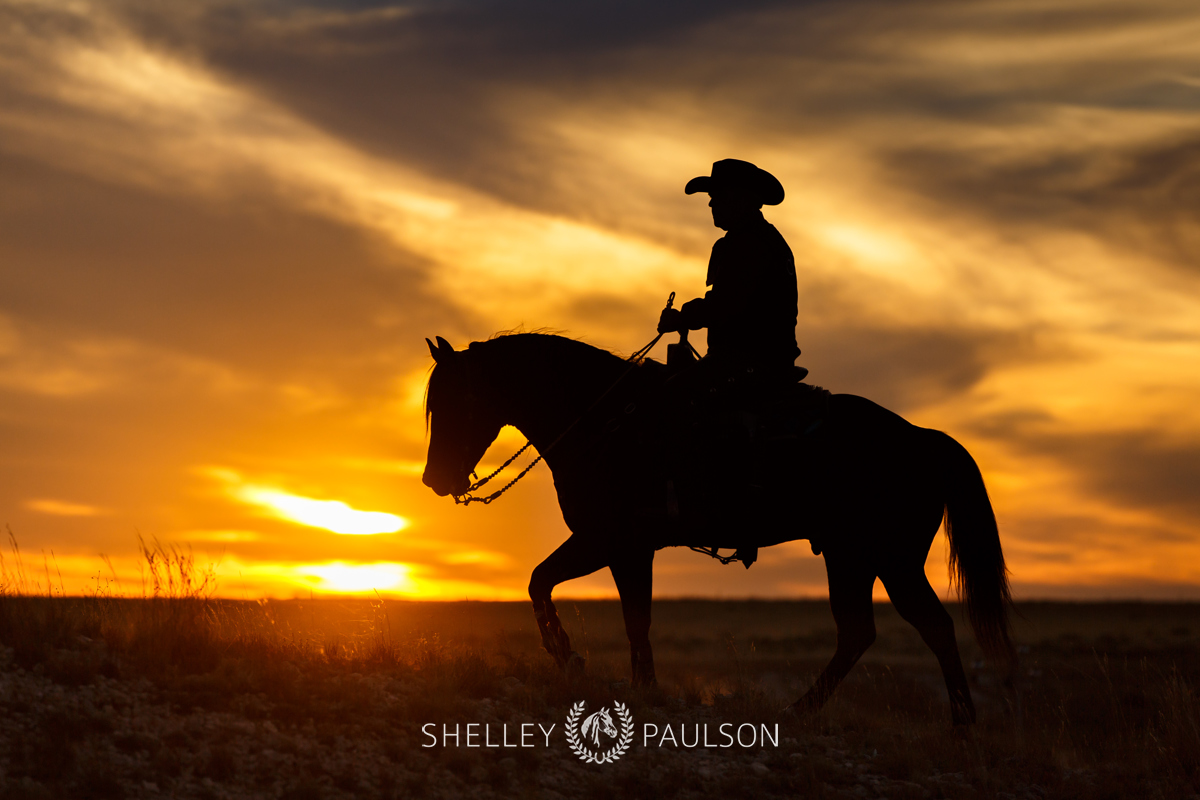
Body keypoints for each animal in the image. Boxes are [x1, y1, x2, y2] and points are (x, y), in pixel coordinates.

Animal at [422, 331, 1012, 724]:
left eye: (454, 401)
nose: (433, 479)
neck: (605, 421)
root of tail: (922, 437)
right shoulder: (624, 548)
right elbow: (625, 615)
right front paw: (639, 686)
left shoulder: (610, 541)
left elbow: (550, 586)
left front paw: (570, 658)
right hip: (851, 558)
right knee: (858, 633)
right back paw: (798, 711)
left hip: (890, 559)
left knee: (932, 626)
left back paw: (961, 723)